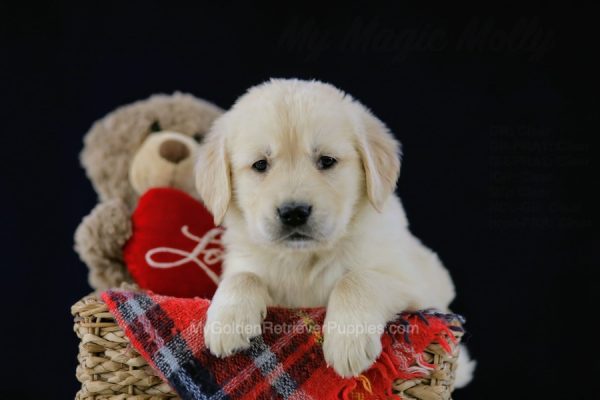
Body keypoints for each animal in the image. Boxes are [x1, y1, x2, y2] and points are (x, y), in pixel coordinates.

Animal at [196, 79, 474, 384]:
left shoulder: (416, 289)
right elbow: (243, 276)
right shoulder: (246, 264)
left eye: (327, 161)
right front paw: (227, 322)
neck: (304, 259)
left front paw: (347, 342)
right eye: (260, 164)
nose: (294, 212)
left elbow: (355, 279)